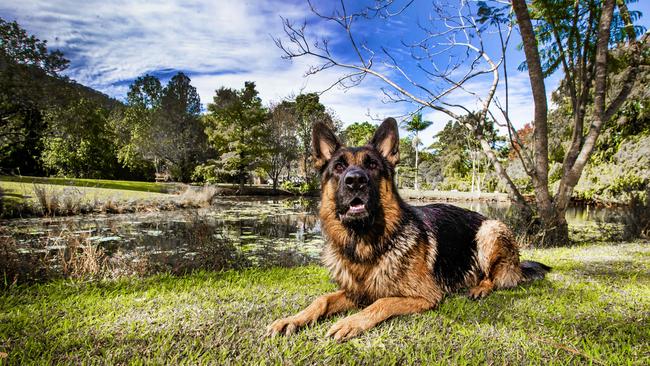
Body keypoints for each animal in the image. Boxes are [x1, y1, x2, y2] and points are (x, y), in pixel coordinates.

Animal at [264, 118, 548, 342]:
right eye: (339, 167)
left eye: (372, 165)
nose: (355, 181)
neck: (365, 243)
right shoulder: (356, 292)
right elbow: (321, 299)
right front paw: (292, 319)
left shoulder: (425, 296)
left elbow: (382, 301)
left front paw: (350, 322)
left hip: (489, 230)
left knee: (496, 276)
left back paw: (481, 287)